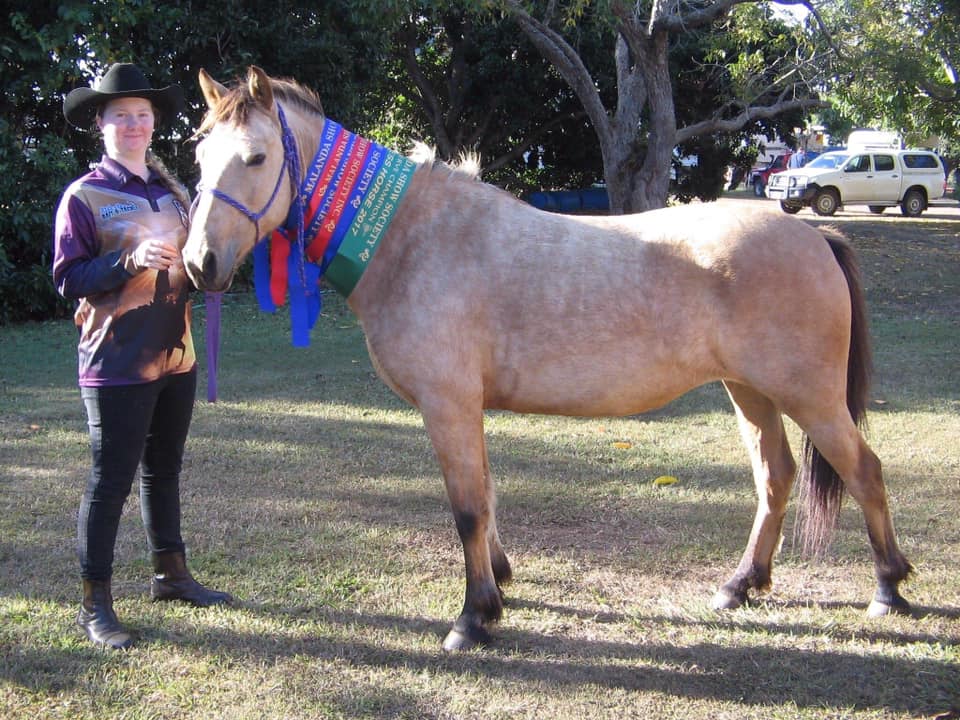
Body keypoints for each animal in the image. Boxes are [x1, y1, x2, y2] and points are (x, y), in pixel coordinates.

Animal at [182, 67, 916, 652]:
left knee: (864, 471)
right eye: (198, 156)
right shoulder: (465, 408)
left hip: (809, 398)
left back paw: (888, 587)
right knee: (776, 477)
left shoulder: (448, 404)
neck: (410, 239)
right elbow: (484, 495)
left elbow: (468, 507)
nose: (199, 263)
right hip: (751, 392)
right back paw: (740, 584)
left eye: (254, 156)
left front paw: (474, 618)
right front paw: (499, 584)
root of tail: (812, 233)